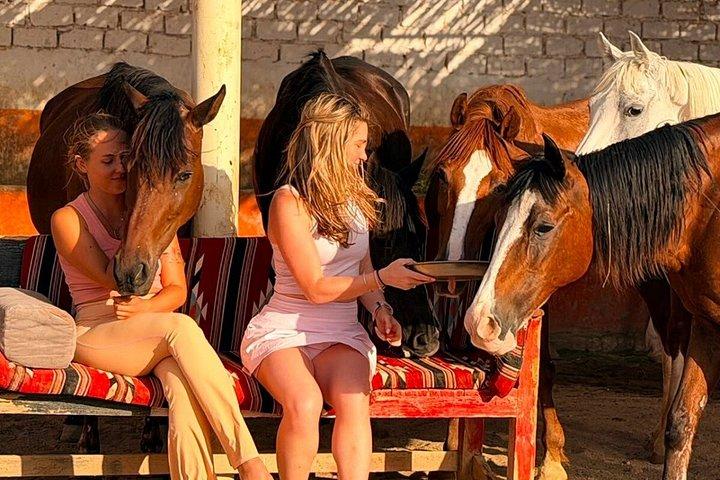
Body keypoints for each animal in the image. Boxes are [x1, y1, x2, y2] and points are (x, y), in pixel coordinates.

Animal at [424, 84, 589, 480]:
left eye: (500, 187)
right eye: (441, 174)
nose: (450, 265)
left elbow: (543, 368)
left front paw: (552, 456)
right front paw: (455, 437)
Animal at [469, 119, 720, 480]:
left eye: (543, 227)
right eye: (499, 220)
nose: (479, 322)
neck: (709, 214)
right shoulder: (706, 326)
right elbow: (682, 423)